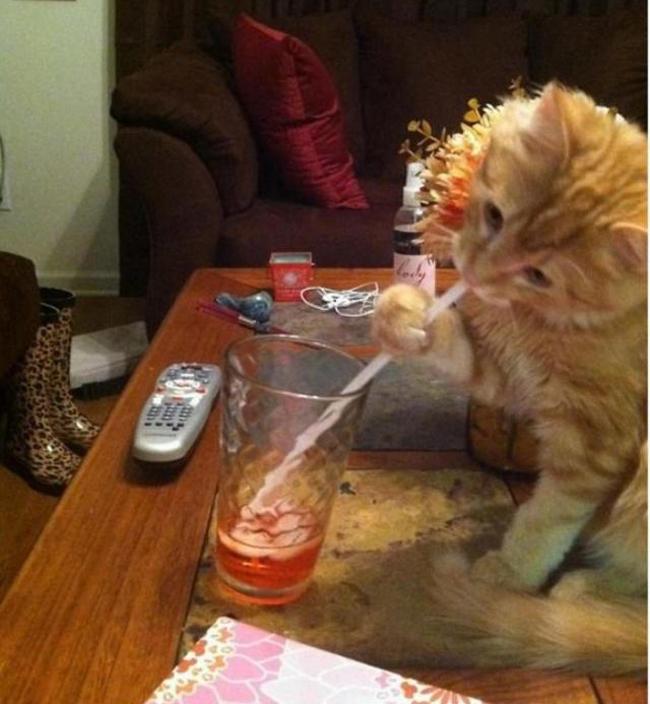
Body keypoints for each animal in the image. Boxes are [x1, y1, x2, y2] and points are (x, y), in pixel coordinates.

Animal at [372, 83, 647, 676]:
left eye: (539, 274)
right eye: (495, 216)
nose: (474, 273)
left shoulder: (595, 443)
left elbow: (547, 517)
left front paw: (510, 573)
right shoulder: (508, 376)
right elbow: (452, 341)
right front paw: (405, 314)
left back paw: (584, 591)